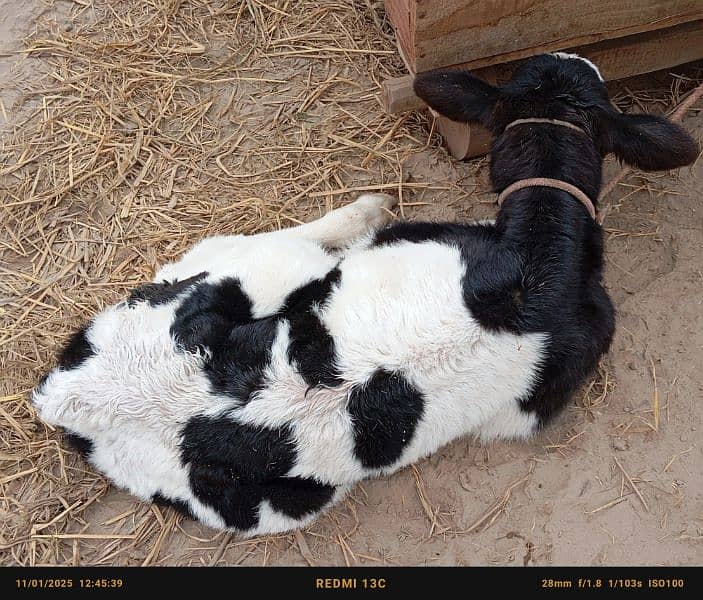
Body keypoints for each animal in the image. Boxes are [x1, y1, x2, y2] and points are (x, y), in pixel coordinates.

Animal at [30, 54, 696, 536]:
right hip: (253, 265)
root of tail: (67, 396)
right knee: (291, 240)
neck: (540, 255)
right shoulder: (528, 407)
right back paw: (365, 208)